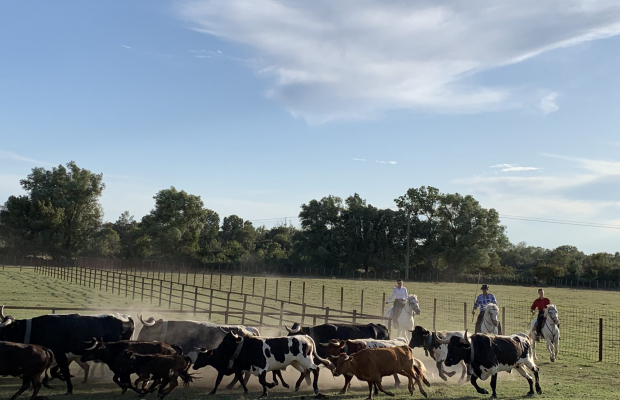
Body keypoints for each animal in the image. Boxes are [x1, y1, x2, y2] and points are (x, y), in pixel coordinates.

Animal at [0, 306, 134, 394]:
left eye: (5, 329)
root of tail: (127, 317)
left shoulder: (60, 354)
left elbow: (64, 371)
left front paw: (69, 388)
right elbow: (55, 371)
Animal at [195, 332, 334, 396]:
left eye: (226, 342)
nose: (216, 350)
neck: (249, 347)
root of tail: (305, 336)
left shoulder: (262, 367)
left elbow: (262, 380)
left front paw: (271, 385)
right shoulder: (255, 369)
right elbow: (261, 380)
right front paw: (265, 391)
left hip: (306, 360)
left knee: (315, 369)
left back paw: (316, 389)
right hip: (296, 362)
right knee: (305, 371)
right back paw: (296, 386)